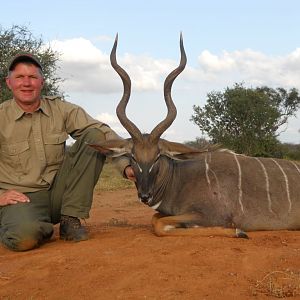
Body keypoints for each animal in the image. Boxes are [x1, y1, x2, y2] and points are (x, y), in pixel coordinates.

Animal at [90, 34, 300, 237]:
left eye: (158, 156)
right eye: (133, 156)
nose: (145, 196)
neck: (178, 179)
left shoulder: (212, 215)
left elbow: (159, 225)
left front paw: (238, 231)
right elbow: (155, 219)